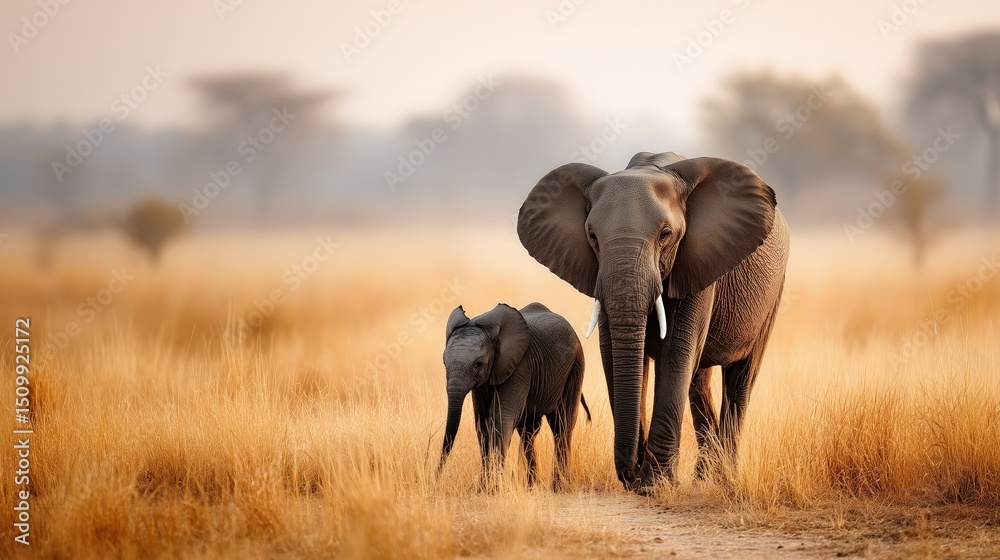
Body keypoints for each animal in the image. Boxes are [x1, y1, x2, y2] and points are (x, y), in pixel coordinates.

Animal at [438, 303, 591, 490]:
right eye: (444, 362)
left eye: (478, 364)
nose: (435, 478)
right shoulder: (483, 383)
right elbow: (482, 424)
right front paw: (482, 489)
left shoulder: (520, 365)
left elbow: (501, 418)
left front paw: (494, 489)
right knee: (528, 431)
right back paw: (532, 486)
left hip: (576, 365)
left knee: (562, 424)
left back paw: (558, 487)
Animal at [517, 152, 789, 492]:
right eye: (592, 237)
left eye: (665, 235)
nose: (631, 474)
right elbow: (612, 352)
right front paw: (644, 478)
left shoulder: (695, 259)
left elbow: (677, 351)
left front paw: (654, 485)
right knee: (698, 381)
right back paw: (703, 478)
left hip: (773, 293)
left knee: (741, 376)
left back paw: (724, 478)